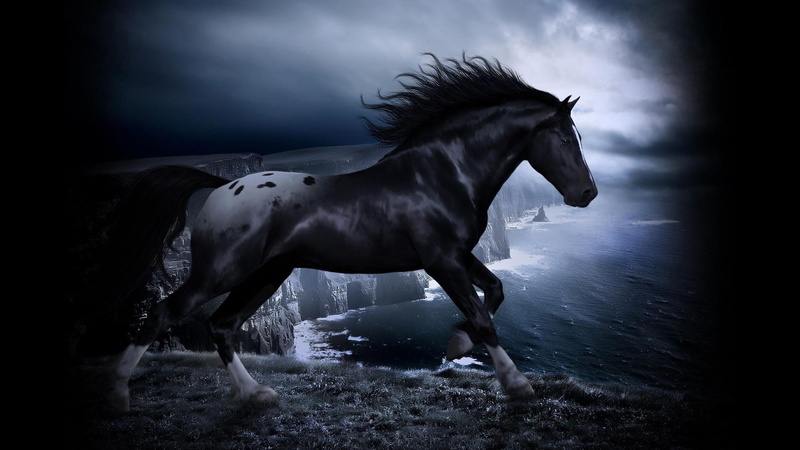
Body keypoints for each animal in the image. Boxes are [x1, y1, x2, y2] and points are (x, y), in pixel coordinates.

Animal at [103, 54, 597, 411]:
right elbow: (482, 316)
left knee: (222, 326)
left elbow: (495, 291)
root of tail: (222, 185)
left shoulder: (458, 255)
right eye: (565, 138)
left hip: (267, 274)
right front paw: (516, 383)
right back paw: (118, 394)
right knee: (164, 313)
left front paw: (456, 344)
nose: (588, 193)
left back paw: (255, 395)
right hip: (222, 271)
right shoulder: (441, 260)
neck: (442, 172)